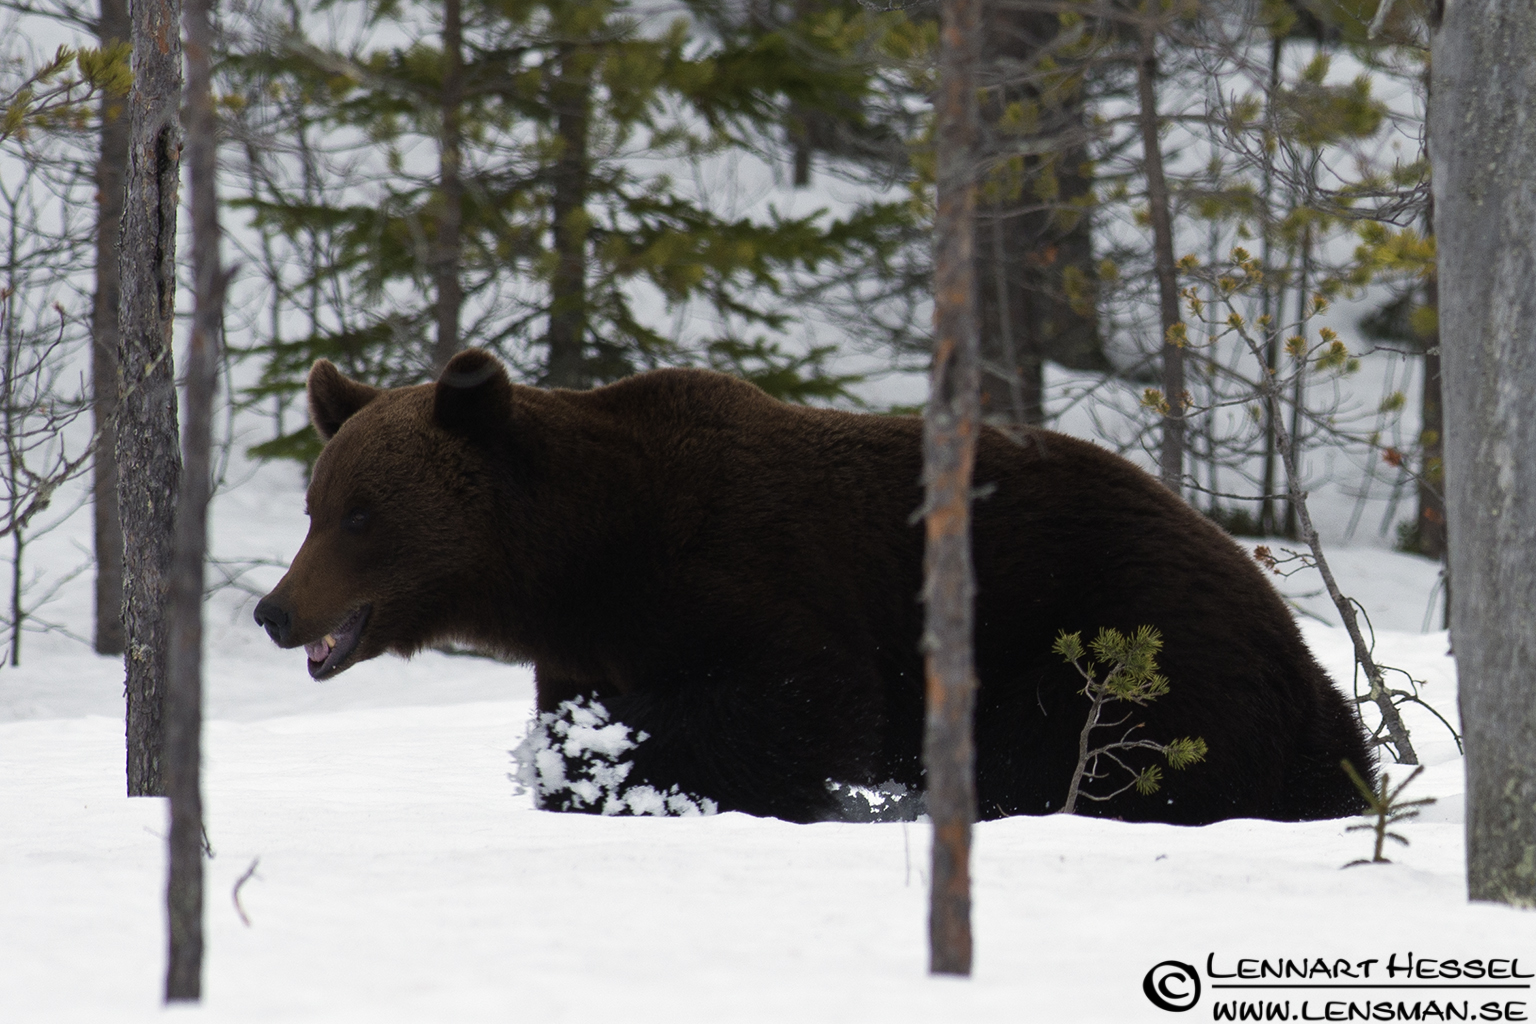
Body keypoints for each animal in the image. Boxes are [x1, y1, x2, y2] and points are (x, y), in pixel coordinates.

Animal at [253, 348, 1373, 825]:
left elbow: (795, 704)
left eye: (362, 515)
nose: (275, 610)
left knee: (1098, 756)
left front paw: (652, 776)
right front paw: (584, 764)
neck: (587, 560)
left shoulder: (752, 573)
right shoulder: (593, 647)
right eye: (317, 504)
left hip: (1120, 643)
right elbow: (586, 719)